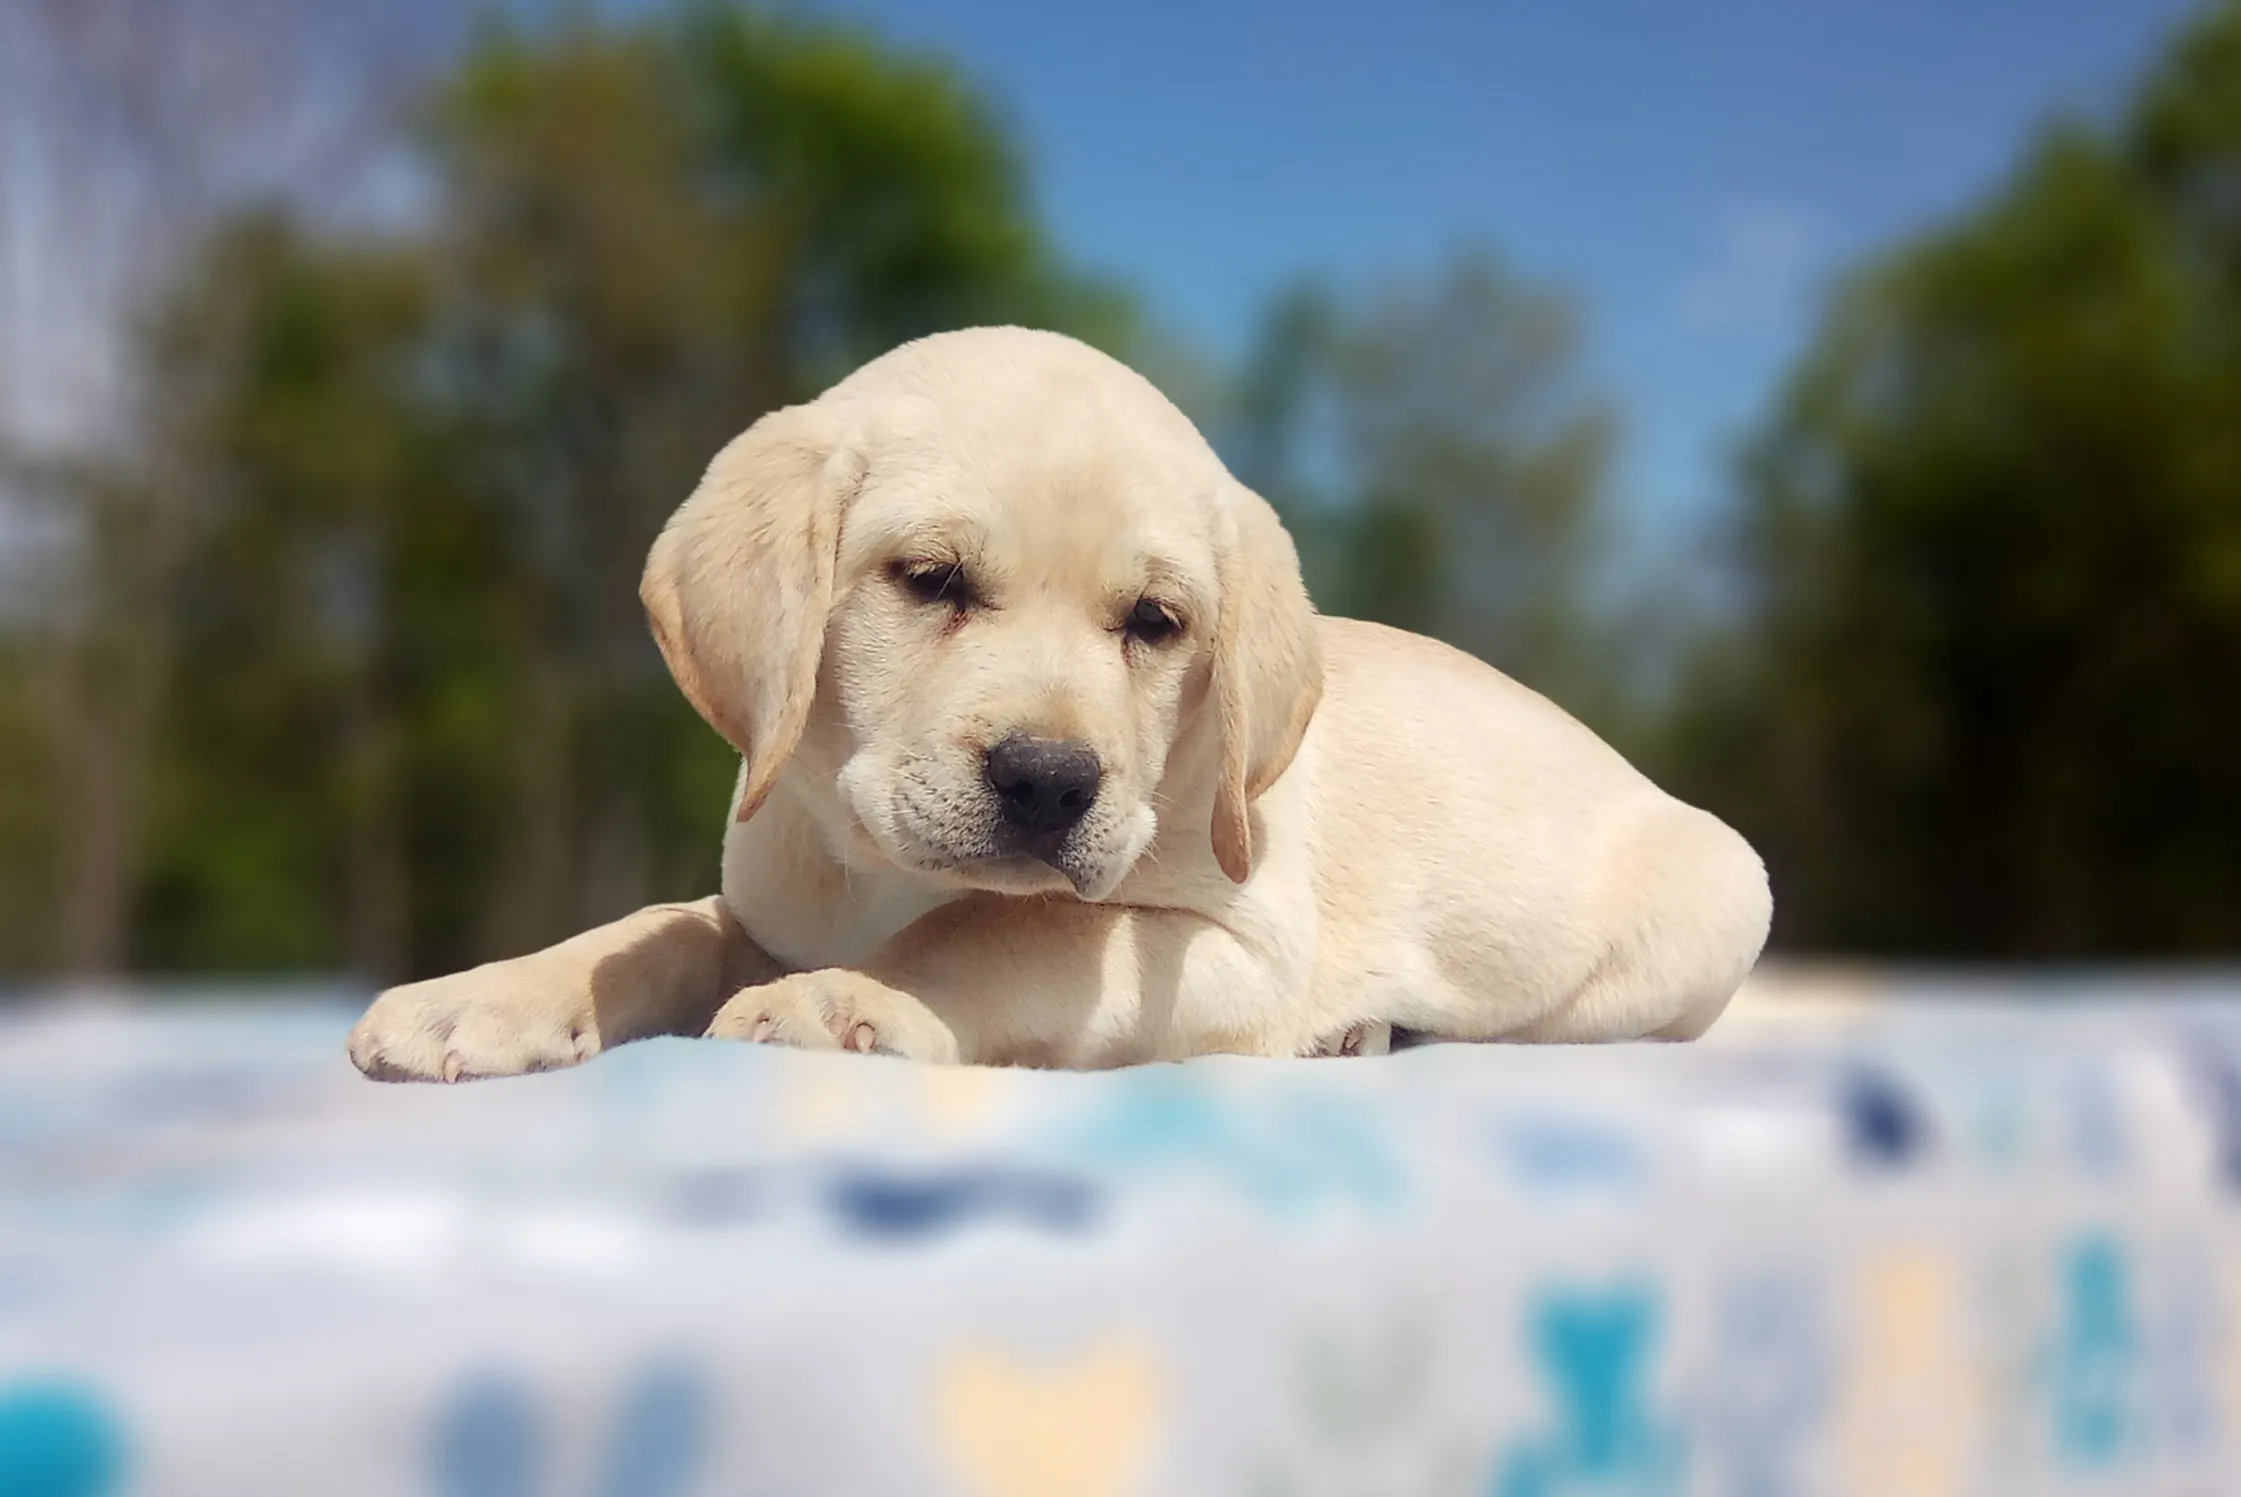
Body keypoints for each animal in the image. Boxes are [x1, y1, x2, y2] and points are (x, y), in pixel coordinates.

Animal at [349, 327, 1774, 1080]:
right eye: (929, 580)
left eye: (1155, 624)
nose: (1049, 783)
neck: (877, 875)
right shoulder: (761, 905)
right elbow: (652, 927)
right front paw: (484, 997)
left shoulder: (1224, 941)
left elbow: (999, 931)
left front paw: (842, 1003)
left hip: (1696, 915)